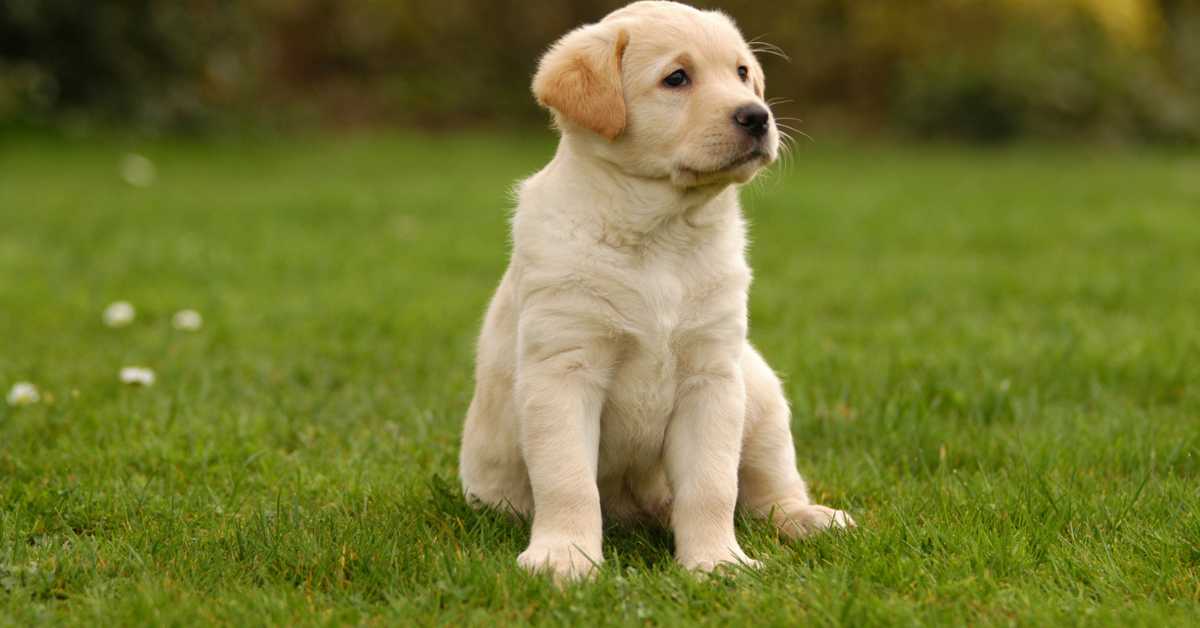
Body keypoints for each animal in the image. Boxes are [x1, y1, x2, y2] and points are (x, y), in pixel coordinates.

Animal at [458, 0, 854, 583]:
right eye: (677, 78)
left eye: (741, 73)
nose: (757, 115)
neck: (661, 233)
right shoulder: (564, 369)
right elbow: (567, 481)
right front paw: (563, 558)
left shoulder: (711, 377)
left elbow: (713, 486)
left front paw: (718, 562)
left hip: (758, 390)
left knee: (769, 491)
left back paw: (810, 518)